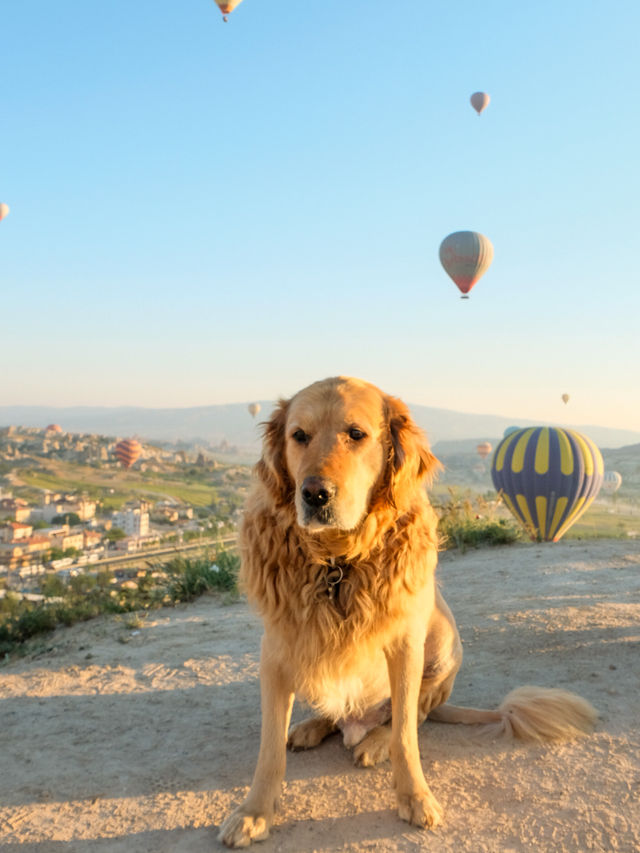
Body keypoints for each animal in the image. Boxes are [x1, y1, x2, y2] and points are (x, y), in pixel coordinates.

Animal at [218, 378, 596, 844]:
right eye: (298, 435)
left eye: (356, 434)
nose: (314, 494)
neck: (337, 563)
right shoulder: (276, 651)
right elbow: (269, 749)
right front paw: (254, 812)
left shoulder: (403, 647)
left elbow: (405, 738)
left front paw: (415, 797)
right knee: (336, 713)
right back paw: (311, 726)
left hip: (444, 647)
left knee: (414, 714)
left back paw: (373, 741)